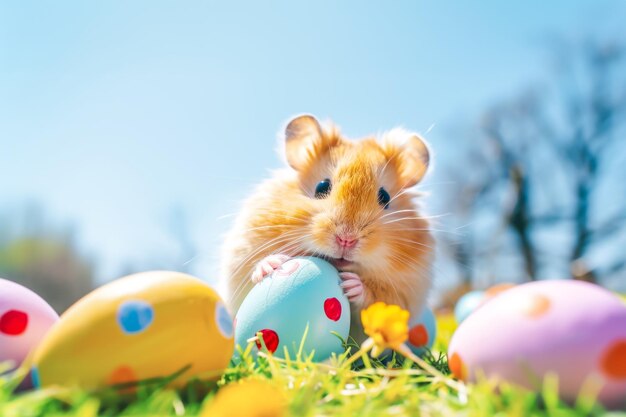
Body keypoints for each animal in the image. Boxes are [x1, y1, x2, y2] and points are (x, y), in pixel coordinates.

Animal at [222, 113, 432, 342]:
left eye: (385, 197)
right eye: (321, 186)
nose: (346, 239)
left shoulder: (405, 293)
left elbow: (376, 300)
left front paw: (352, 285)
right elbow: (253, 268)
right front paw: (272, 265)